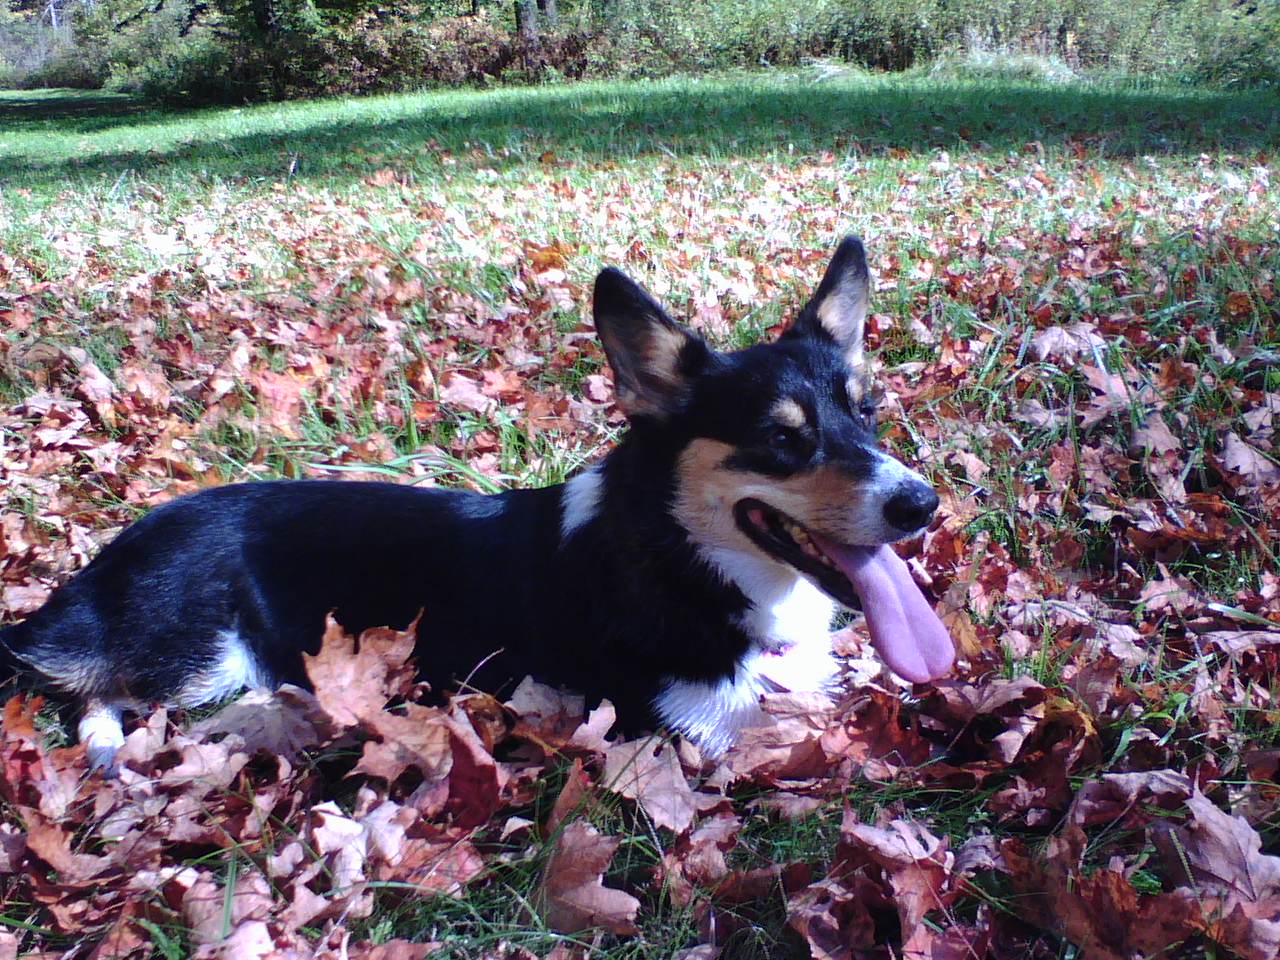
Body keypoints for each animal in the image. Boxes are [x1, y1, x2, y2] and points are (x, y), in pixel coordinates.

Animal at [0, 239, 957, 768]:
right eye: (783, 439)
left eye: (868, 412)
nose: (924, 505)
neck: (679, 558)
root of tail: (103, 563)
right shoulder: (698, 735)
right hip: (200, 659)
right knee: (95, 691)